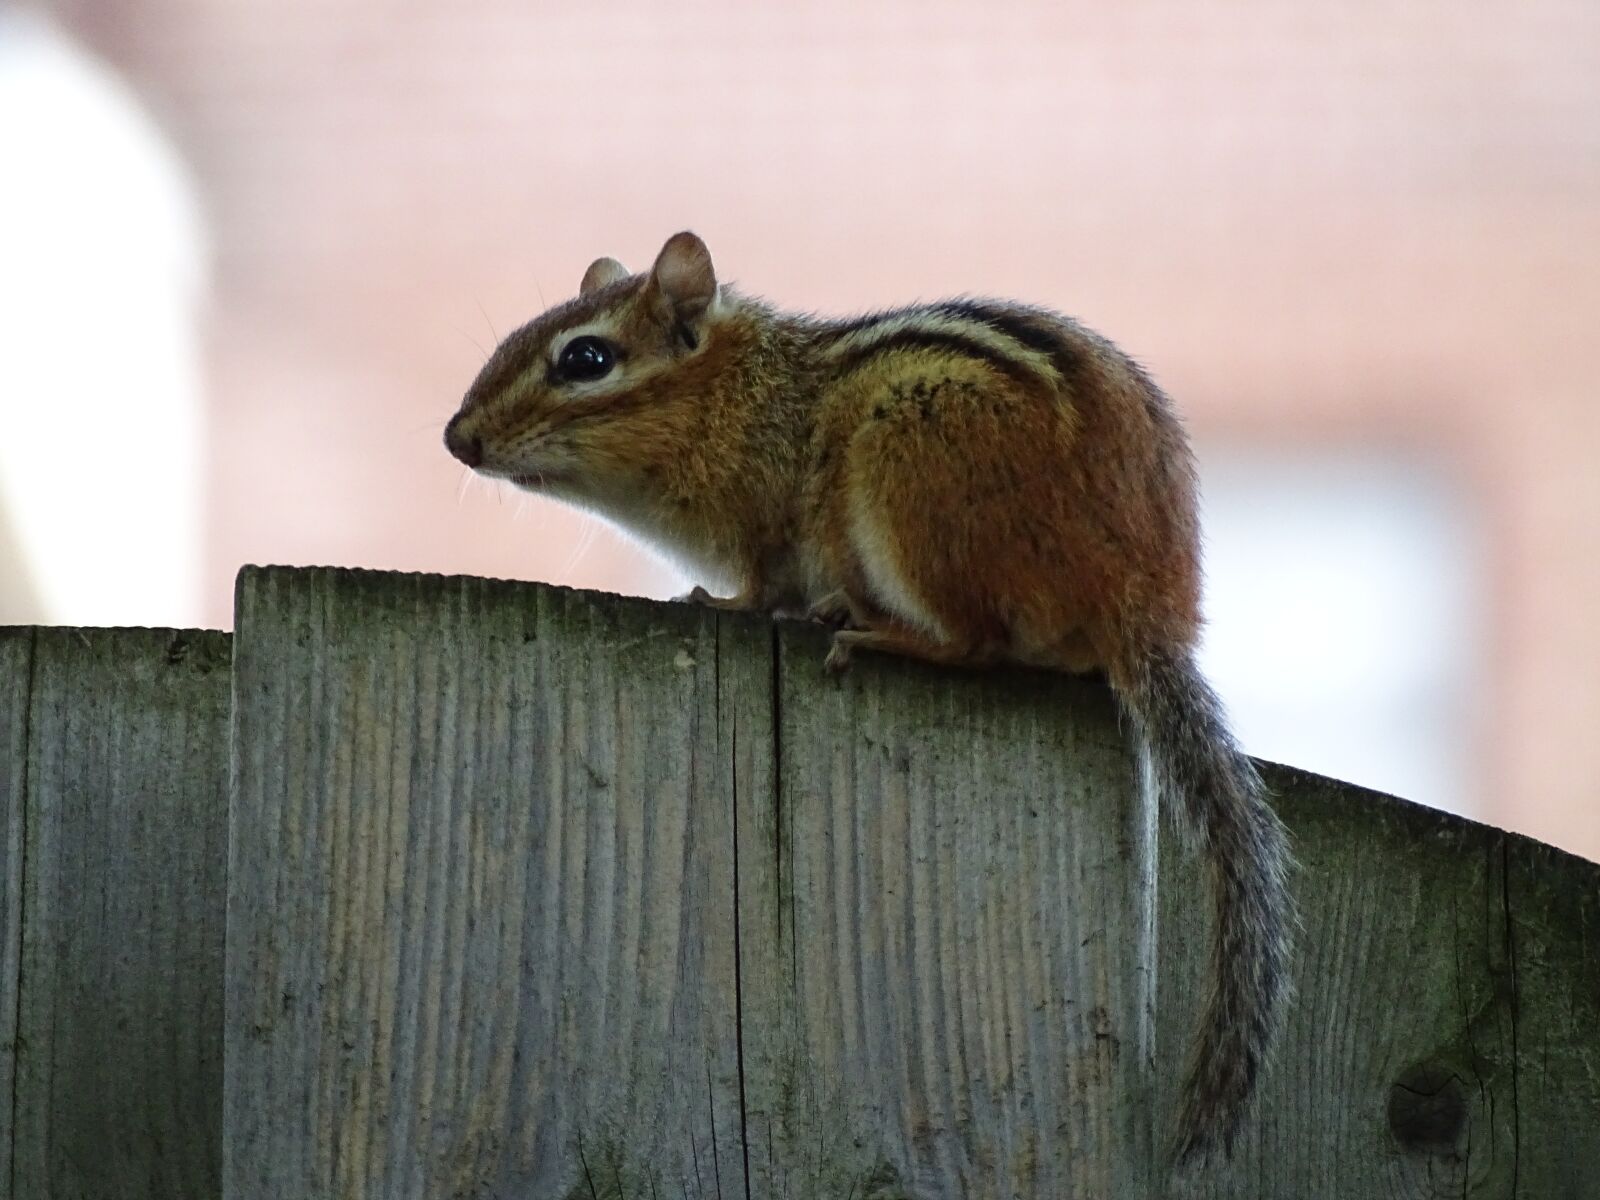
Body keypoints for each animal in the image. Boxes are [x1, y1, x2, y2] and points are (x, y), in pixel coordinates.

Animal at [444, 230, 1293, 1166]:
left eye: (586, 359)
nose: (458, 437)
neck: (736, 393)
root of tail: (1144, 605)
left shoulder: (765, 525)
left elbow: (759, 585)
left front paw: (720, 604)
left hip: (909, 467)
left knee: (973, 642)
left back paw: (873, 628)